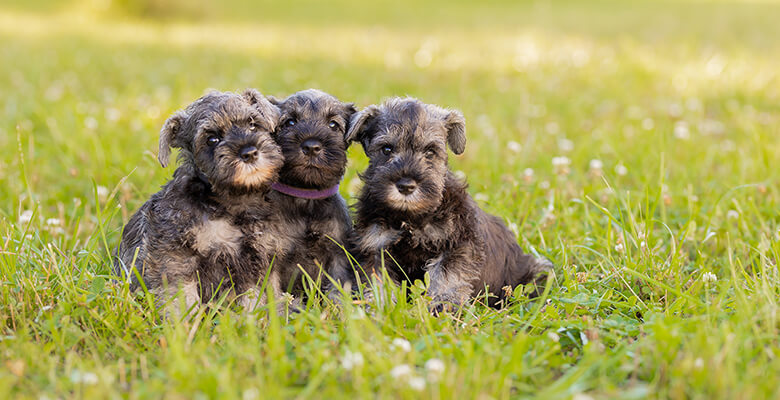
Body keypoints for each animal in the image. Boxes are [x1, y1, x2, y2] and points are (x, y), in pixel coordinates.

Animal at [112, 88, 290, 316]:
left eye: (253, 124)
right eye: (212, 139)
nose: (249, 152)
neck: (232, 203)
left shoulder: (254, 262)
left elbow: (252, 301)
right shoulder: (175, 257)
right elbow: (182, 299)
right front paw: (184, 324)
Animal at [266, 88, 356, 300]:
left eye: (333, 124)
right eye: (290, 122)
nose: (311, 147)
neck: (305, 199)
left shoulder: (337, 255)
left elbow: (337, 289)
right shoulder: (273, 255)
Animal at [344, 97, 552, 312]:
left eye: (430, 151)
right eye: (386, 149)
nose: (406, 186)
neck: (409, 217)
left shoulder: (457, 245)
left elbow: (447, 279)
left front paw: (445, 308)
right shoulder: (375, 245)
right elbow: (377, 280)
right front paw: (379, 307)